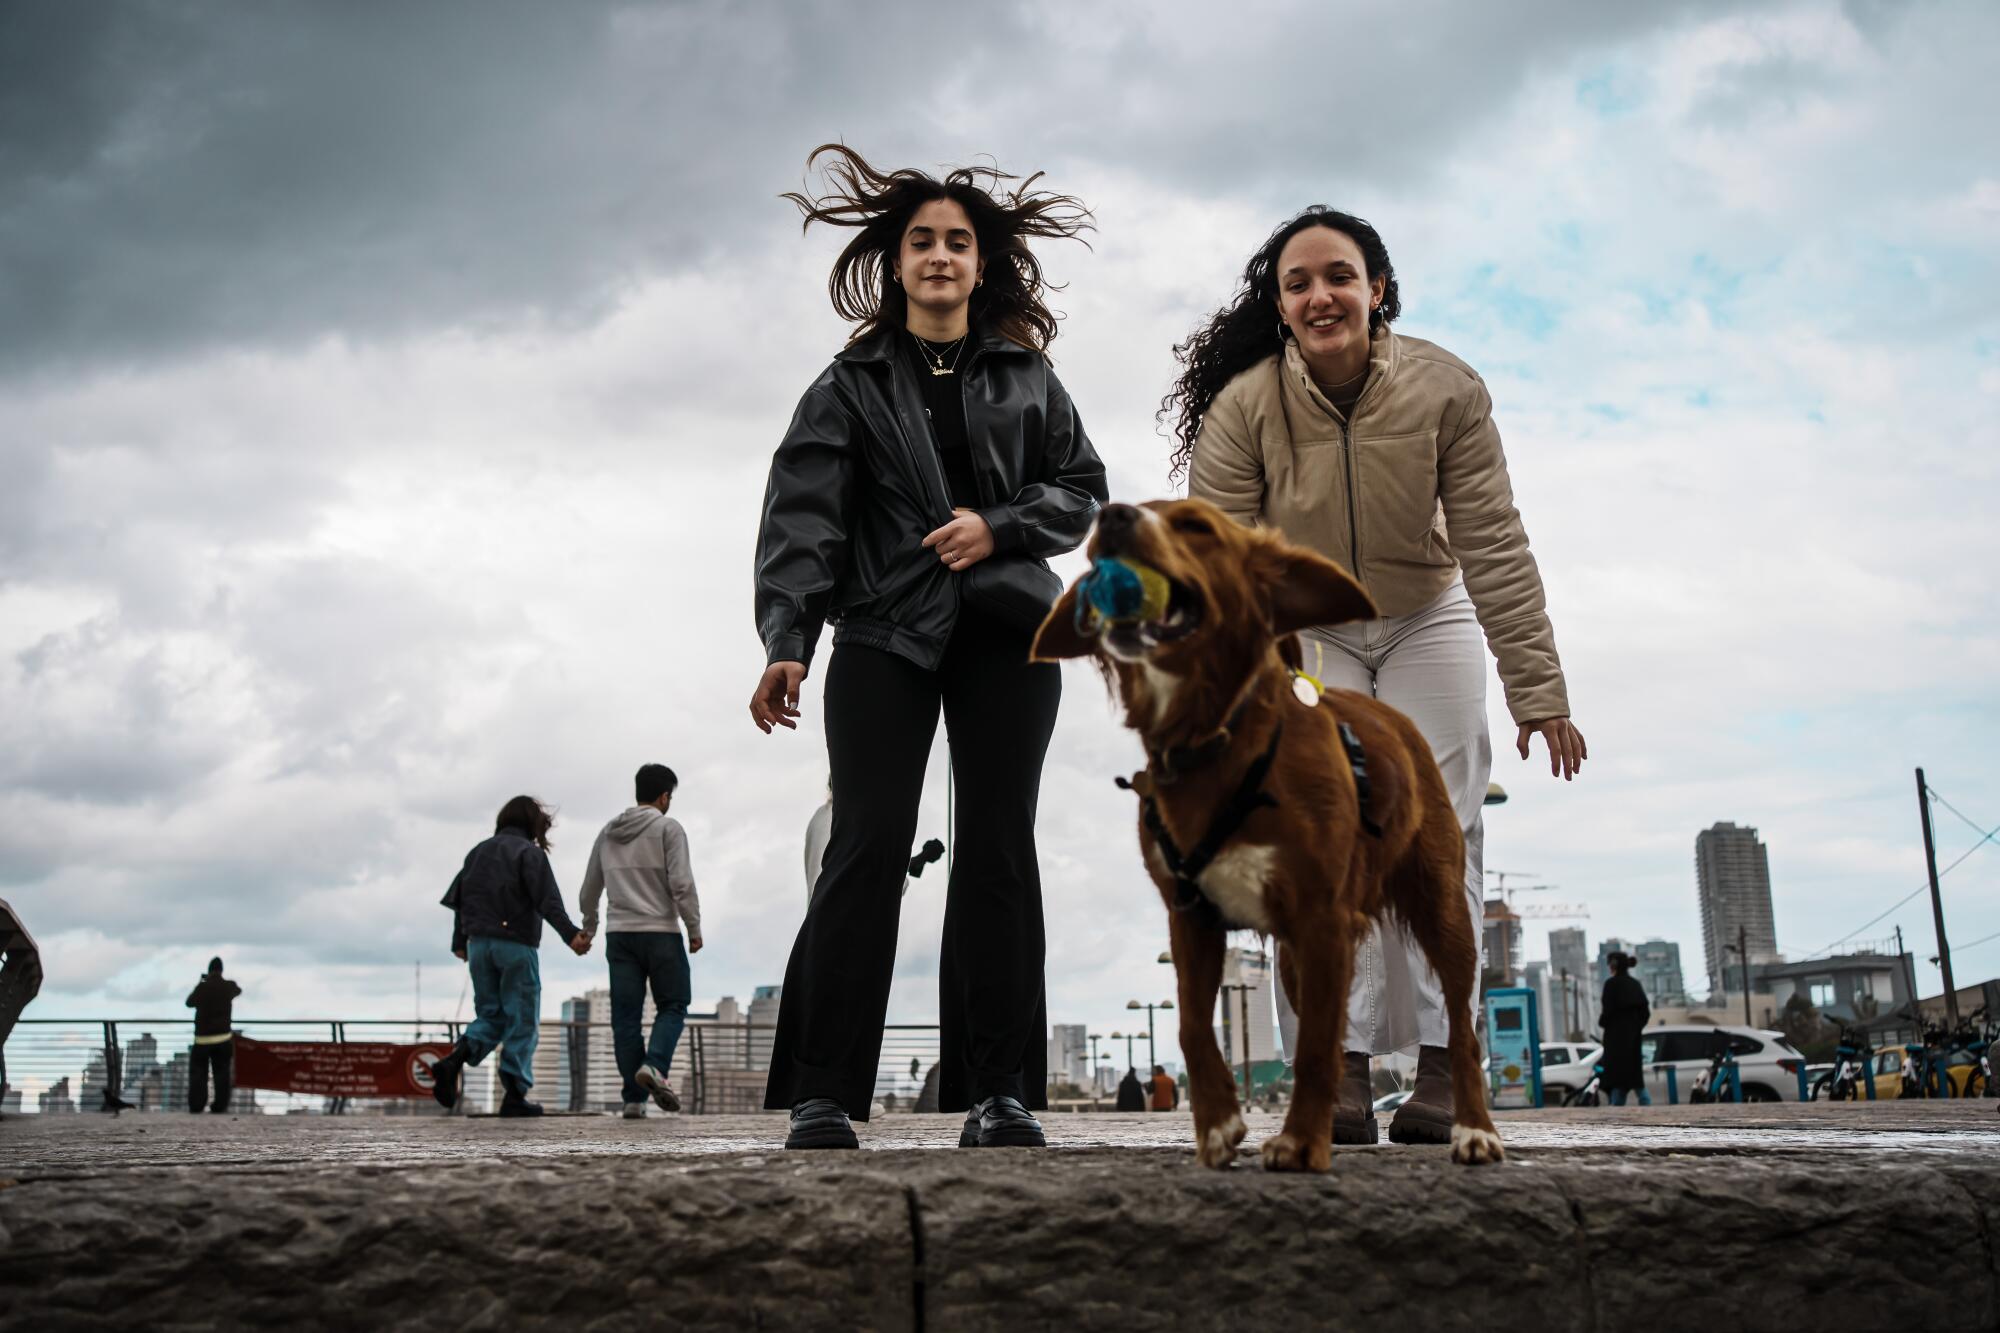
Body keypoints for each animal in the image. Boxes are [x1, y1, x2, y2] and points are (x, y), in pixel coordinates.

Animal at [1040, 496, 1496, 1160]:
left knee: (1461, 1024)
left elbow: (1315, 1049)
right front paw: (1221, 1127)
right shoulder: (1191, 917)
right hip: (1296, 959)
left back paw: (1472, 1130)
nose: (1111, 515)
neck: (1219, 741)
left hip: (1442, 911)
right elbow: (1194, 1029)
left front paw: (1301, 1143)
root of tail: (1393, 716)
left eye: (1196, 526)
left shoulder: (1323, 916)